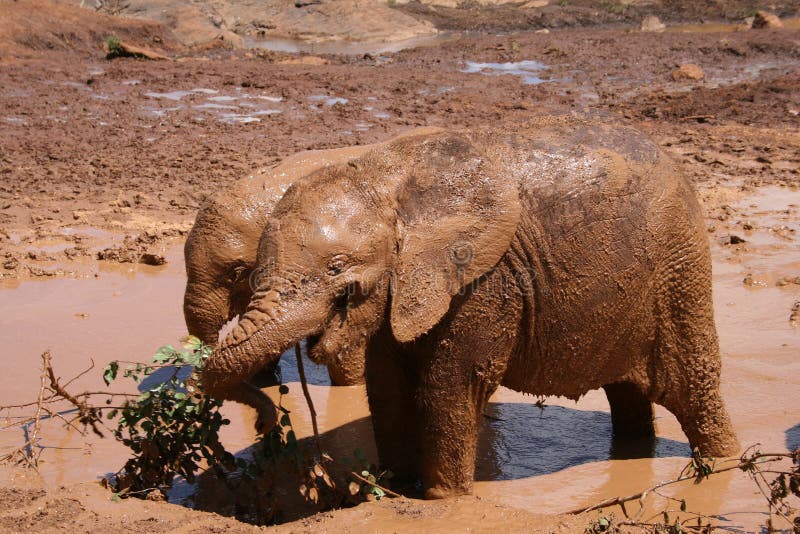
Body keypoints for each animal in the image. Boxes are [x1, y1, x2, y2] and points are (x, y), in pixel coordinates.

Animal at [203, 116, 740, 498]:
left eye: (337, 268)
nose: (267, 424)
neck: (385, 178)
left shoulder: (483, 278)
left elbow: (450, 387)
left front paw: (442, 502)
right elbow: (387, 388)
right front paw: (394, 486)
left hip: (679, 269)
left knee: (692, 387)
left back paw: (723, 465)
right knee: (628, 392)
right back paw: (634, 453)